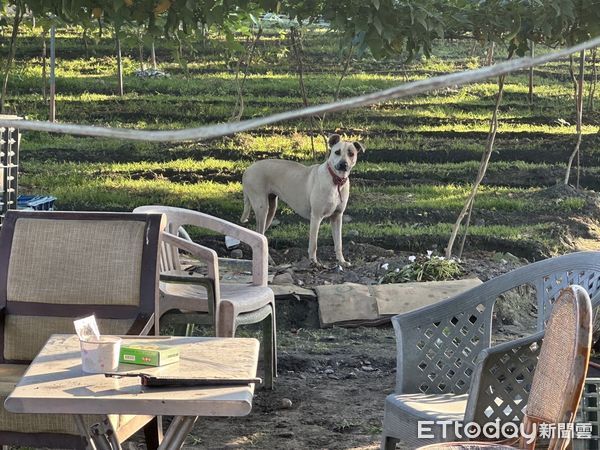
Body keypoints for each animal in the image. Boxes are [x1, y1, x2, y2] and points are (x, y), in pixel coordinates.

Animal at [240, 134, 366, 268]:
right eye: (337, 152)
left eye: (351, 153)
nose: (343, 164)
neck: (336, 180)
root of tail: (247, 169)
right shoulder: (316, 217)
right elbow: (313, 243)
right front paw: (313, 262)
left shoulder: (337, 217)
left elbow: (338, 243)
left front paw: (341, 261)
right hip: (262, 208)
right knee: (260, 233)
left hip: (271, 209)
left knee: (260, 234)